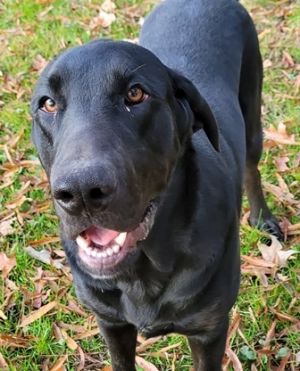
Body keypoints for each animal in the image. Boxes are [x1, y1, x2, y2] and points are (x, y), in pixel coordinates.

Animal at [30, 0, 282, 371]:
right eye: (47, 103)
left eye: (135, 94)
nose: (80, 193)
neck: (142, 273)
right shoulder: (111, 323)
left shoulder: (209, 332)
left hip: (252, 109)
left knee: (252, 165)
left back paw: (263, 218)